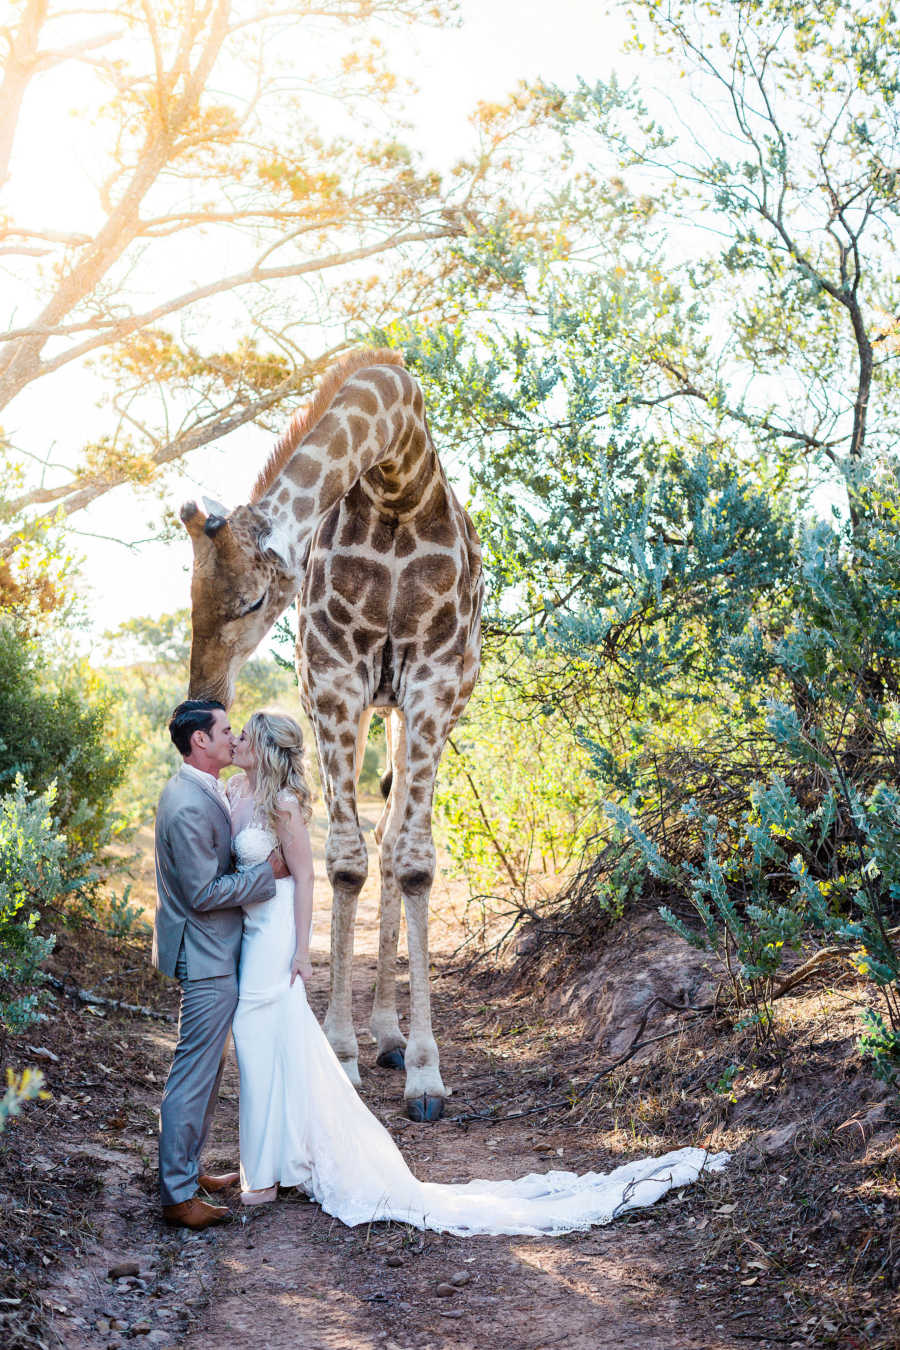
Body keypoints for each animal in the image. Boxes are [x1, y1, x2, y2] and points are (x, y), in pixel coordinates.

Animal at [178, 345, 483, 1117]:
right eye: (189, 598)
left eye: (254, 598)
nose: (203, 699)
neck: (400, 482)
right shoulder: (336, 676)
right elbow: (344, 860)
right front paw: (341, 1055)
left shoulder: (433, 677)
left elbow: (413, 860)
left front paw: (427, 1073)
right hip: (372, 700)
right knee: (376, 840)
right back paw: (379, 1036)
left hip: (414, 706)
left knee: (395, 839)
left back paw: (394, 1036)